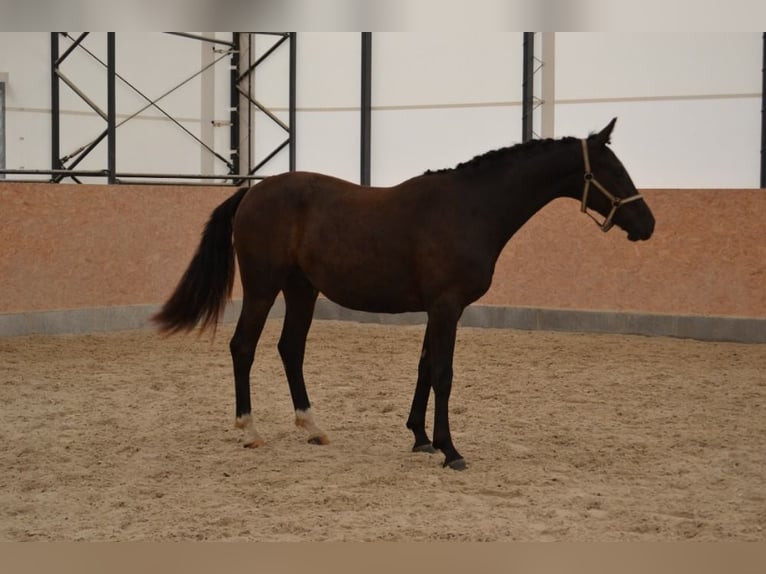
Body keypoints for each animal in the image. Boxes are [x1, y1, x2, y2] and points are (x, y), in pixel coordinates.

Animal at [153, 118, 656, 472]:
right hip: (263, 287)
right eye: (613, 171)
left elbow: (424, 369)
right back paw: (249, 430)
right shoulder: (447, 306)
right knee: (244, 347)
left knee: (290, 349)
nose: (648, 223)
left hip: (302, 290)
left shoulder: (438, 308)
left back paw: (312, 427)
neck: (471, 208)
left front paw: (420, 438)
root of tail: (252, 191)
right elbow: (444, 374)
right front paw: (451, 450)